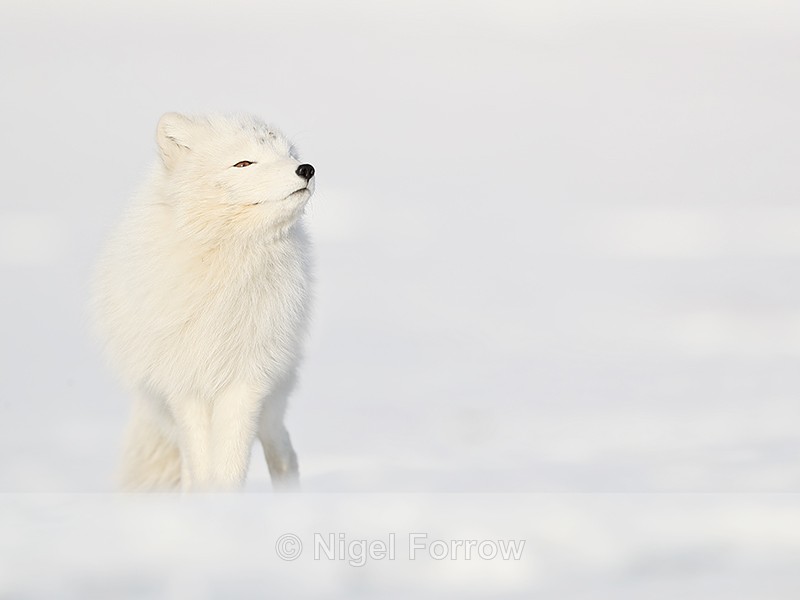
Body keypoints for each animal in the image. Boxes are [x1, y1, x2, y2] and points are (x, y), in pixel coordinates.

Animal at [91, 112, 315, 491]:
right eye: (244, 163)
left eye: (289, 154)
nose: (307, 169)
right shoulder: (186, 386)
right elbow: (202, 466)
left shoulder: (247, 380)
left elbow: (230, 466)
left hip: (272, 401)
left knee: (283, 450)